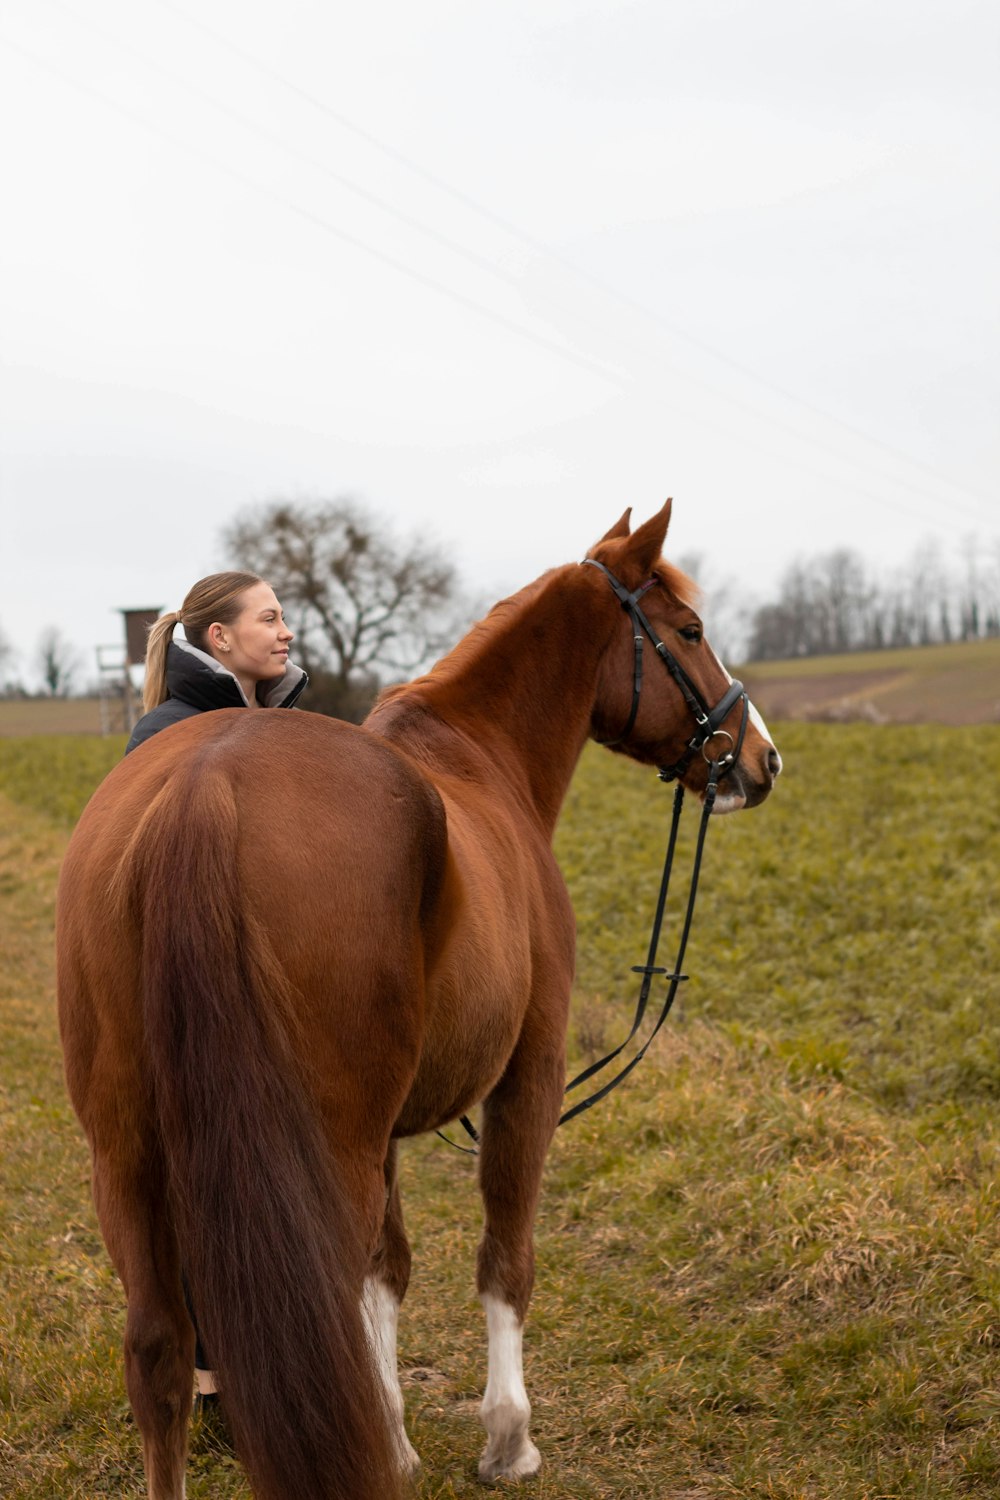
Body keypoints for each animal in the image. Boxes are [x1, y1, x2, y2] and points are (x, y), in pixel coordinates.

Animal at [56, 507, 779, 1500]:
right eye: (692, 631)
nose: (762, 759)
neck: (476, 756)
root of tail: (206, 786)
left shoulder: (387, 1129)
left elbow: (386, 1273)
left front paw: (397, 1439)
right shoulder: (529, 1075)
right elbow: (504, 1260)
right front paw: (507, 1440)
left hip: (129, 1153)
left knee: (161, 1351)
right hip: (322, 1146)